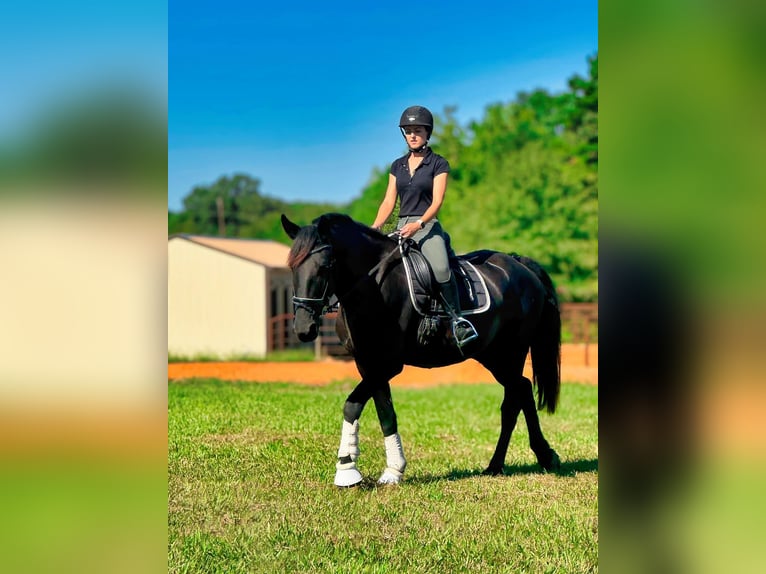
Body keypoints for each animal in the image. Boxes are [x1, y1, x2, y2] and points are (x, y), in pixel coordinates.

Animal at [281, 212, 561, 487]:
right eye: (292, 267)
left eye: (325, 266)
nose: (304, 329)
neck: (373, 287)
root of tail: (519, 264)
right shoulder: (368, 363)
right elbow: (386, 413)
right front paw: (393, 471)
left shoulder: (388, 364)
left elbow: (352, 405)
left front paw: (347, 470)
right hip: (492, 356)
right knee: (521, 390)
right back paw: (527, 459)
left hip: (510, 353)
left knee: (515, 399)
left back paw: (516, 461)